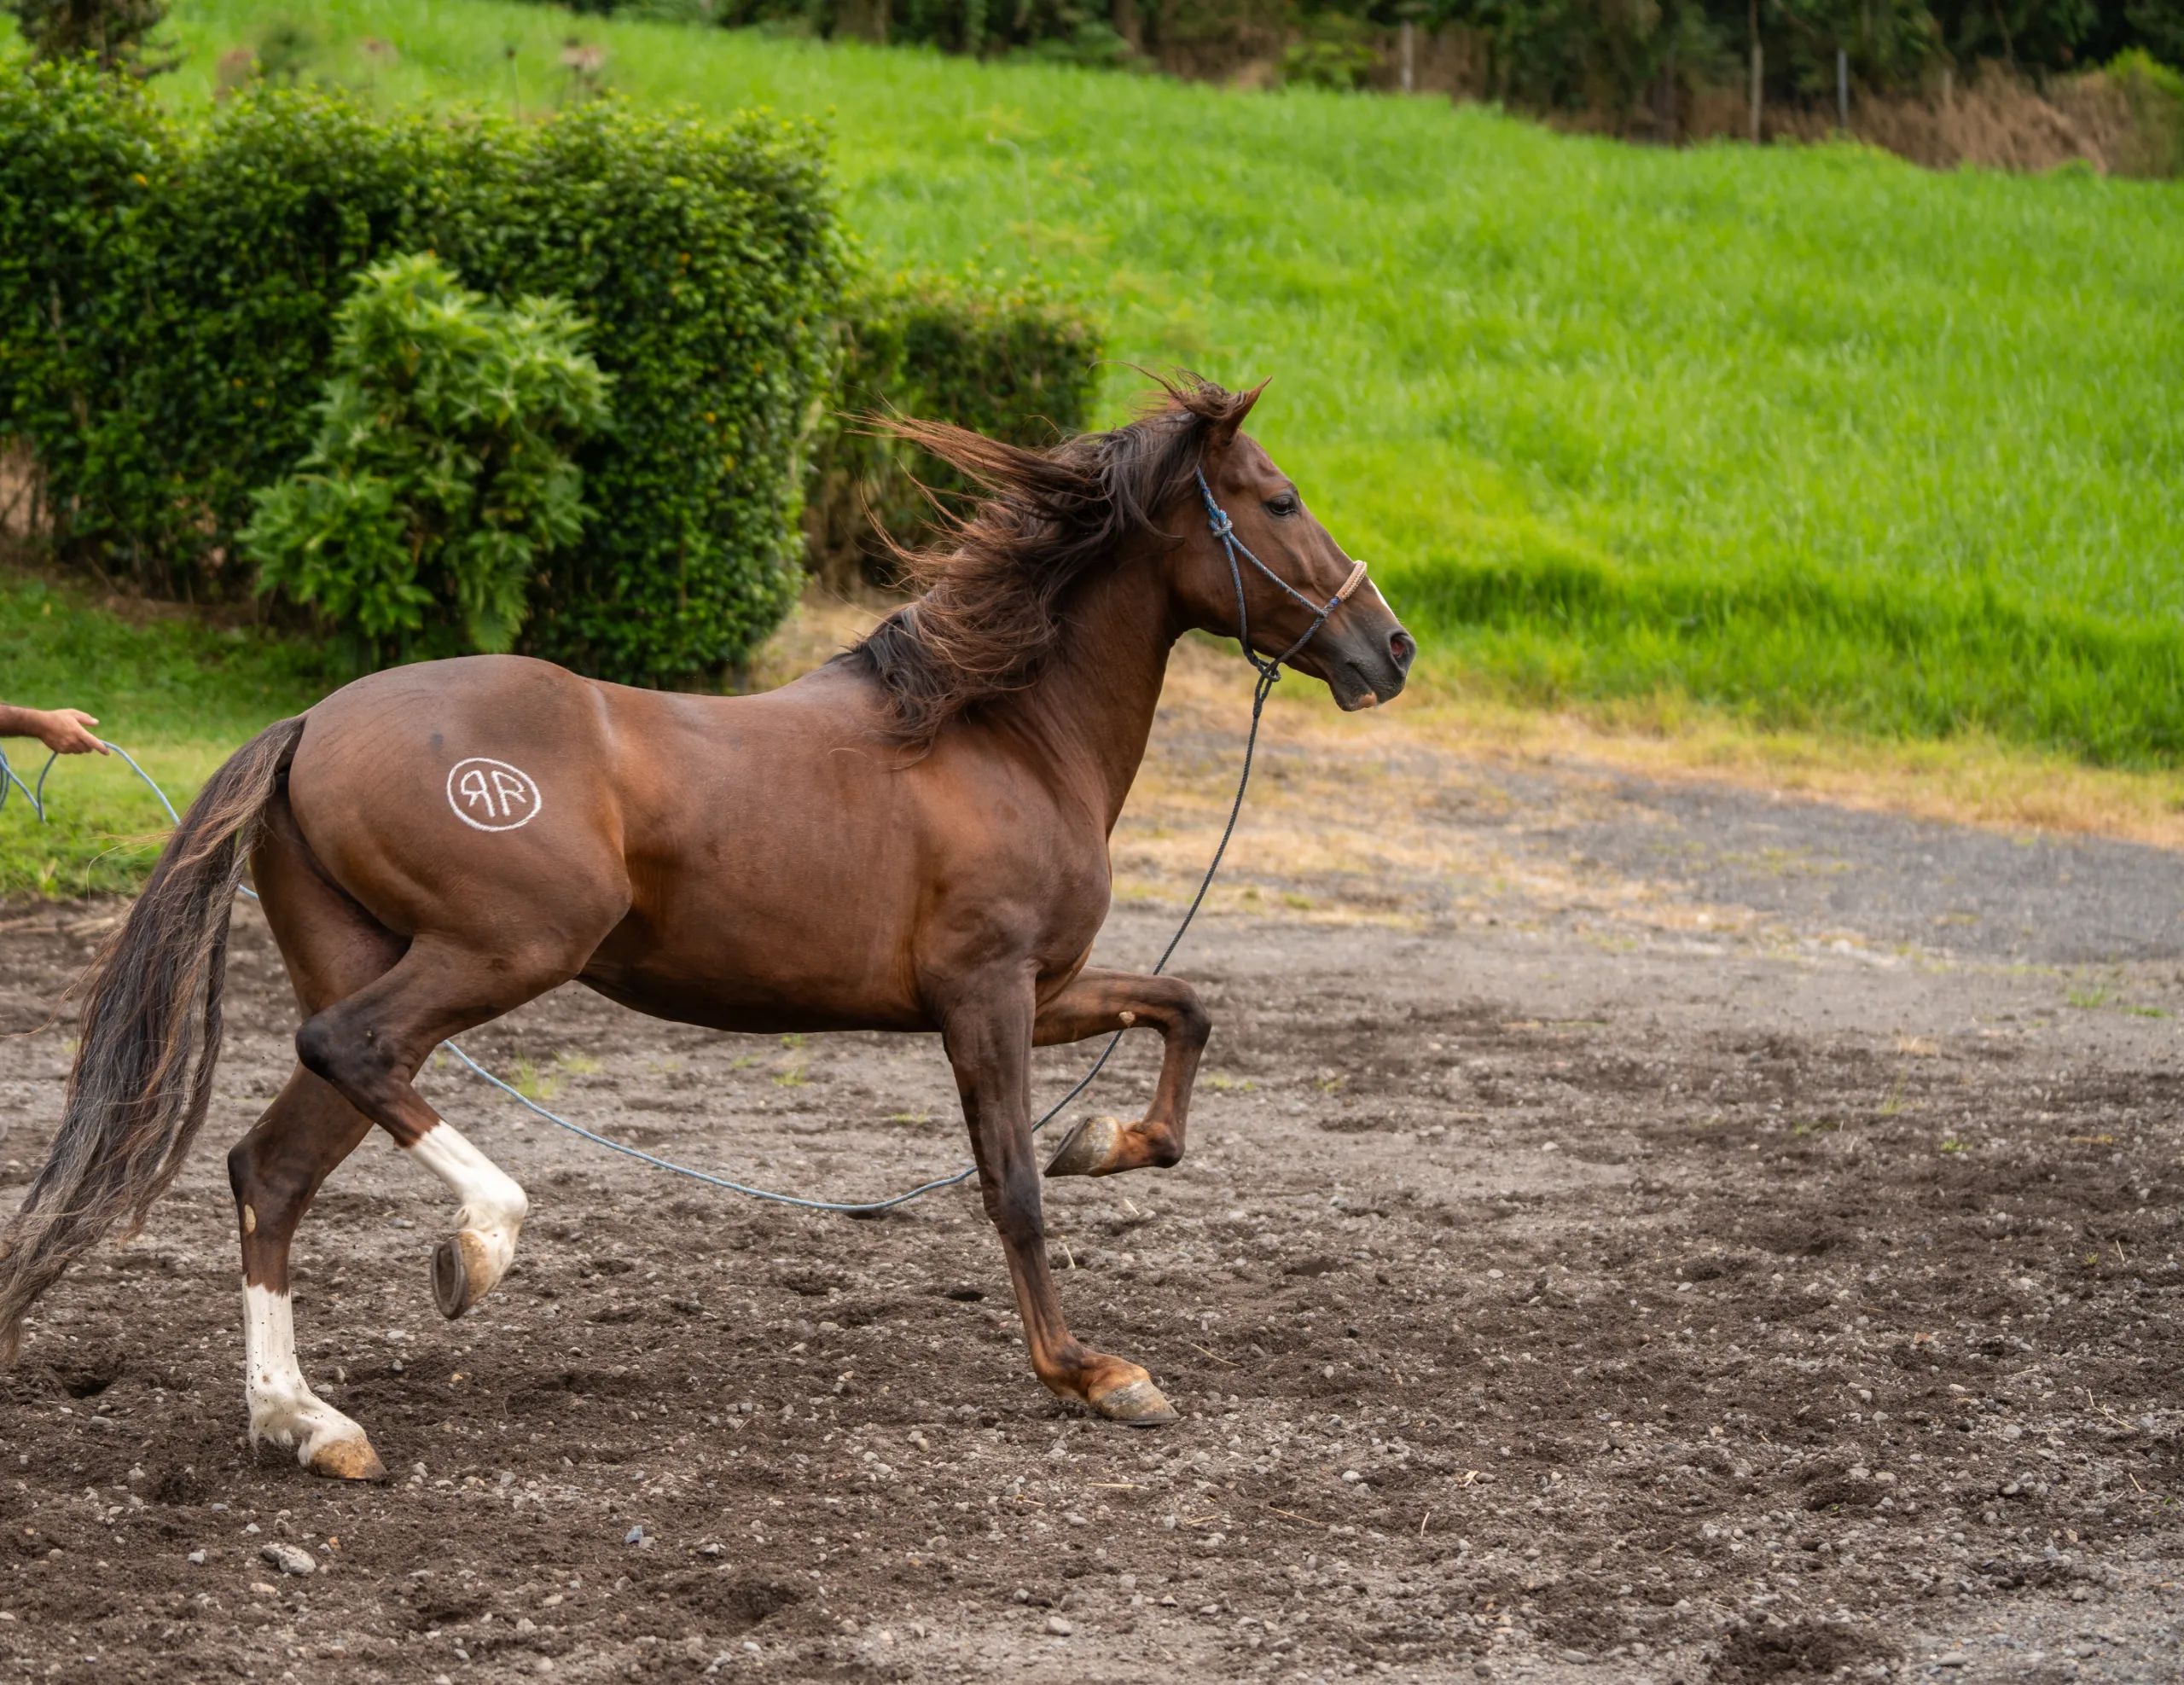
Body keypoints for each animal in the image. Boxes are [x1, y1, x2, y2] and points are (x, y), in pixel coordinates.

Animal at [0, 376, 1413, 1480]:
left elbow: (1186, 1012)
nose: (1388, 647)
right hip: (505, 951)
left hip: (381, 960)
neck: (998, 729)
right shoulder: (987, 990)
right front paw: (1089, 1367)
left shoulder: (1043, 984)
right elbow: (1010, 1186)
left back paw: (306, 1420)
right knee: (351, 1057)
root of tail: (310, 724)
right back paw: (478, 1244)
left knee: (275, 1163)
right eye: (1280, 501)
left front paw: (1106, 1140)